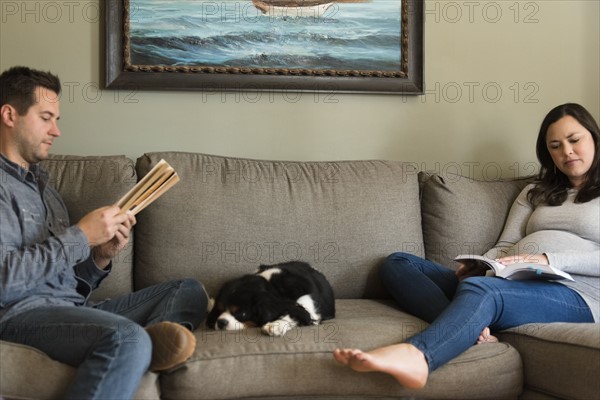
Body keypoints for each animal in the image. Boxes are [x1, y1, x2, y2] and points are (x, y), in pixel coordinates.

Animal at [207, 260, 336, 336]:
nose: (220, 322)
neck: (272, 284)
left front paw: (276, 325)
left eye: (242, 314)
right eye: (219, 309)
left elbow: (298, 312)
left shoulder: (309, 301)